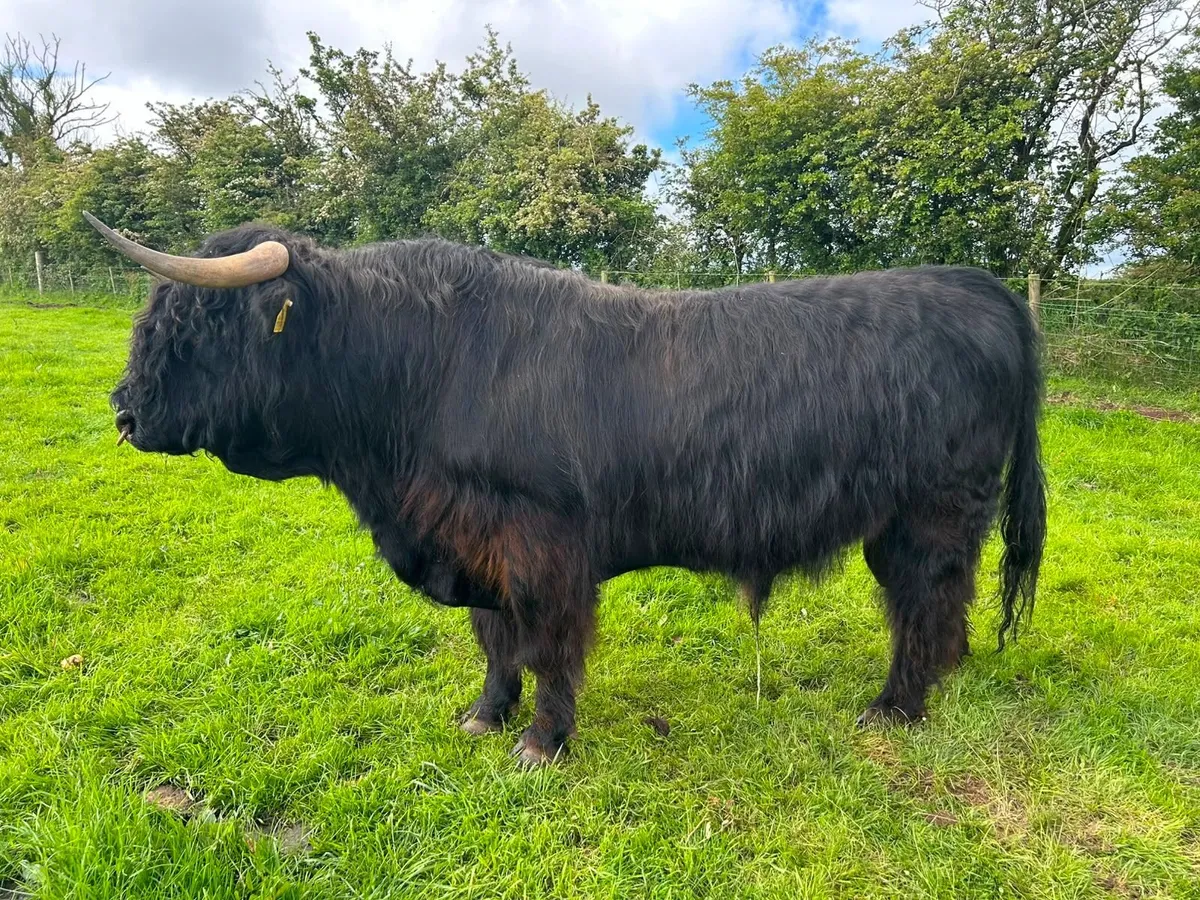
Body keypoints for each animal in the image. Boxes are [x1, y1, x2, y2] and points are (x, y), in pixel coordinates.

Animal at [85, 211, 1047, 767]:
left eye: (199, 318)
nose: (125, 410)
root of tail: (978, 285)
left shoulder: (542, 544)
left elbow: (546, 644)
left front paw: (543, 742)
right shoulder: (473, 543)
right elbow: (494, 640)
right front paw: (485, 716)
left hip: (930, 513)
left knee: (923, 601)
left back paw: (896, 708)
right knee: (946, 604)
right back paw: (943, 677)